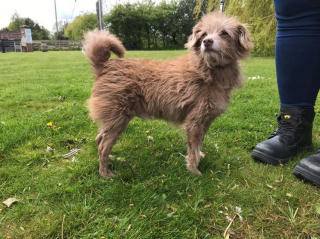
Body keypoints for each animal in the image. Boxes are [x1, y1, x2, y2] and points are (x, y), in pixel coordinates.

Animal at [84, 12, 254, 178]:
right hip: (118, 118)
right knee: (103, 146)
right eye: (204, 34)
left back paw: (110, 158)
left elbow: (199, 144)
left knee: (99, 138)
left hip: (113, 119)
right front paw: (194, 170)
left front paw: (199, 157)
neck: (208, 68)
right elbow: (193, 148)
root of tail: (105, 65)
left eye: (224, 33)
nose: (207, 41)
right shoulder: (195, 121)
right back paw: (105, 172)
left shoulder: (206, 120)